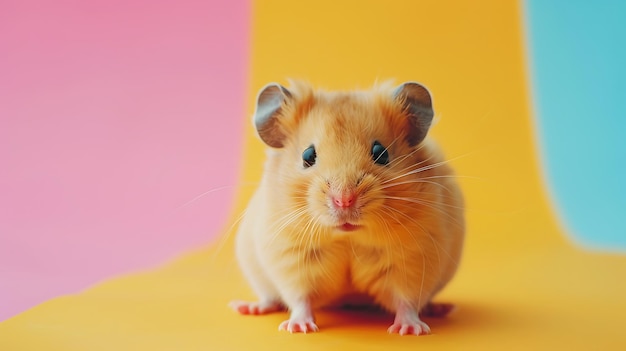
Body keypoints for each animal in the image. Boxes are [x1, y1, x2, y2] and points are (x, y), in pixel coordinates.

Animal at [229, 81, 464, 336]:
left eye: (381, 153)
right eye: (307, 155)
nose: (344, 200)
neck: (348, 238)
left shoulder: (413, 258)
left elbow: (407, 299)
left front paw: (410, 330)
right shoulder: (292, 256)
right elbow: (300, 297)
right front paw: (298, 328)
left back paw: (440, 308)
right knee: (270, 298)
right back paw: (247, 307)